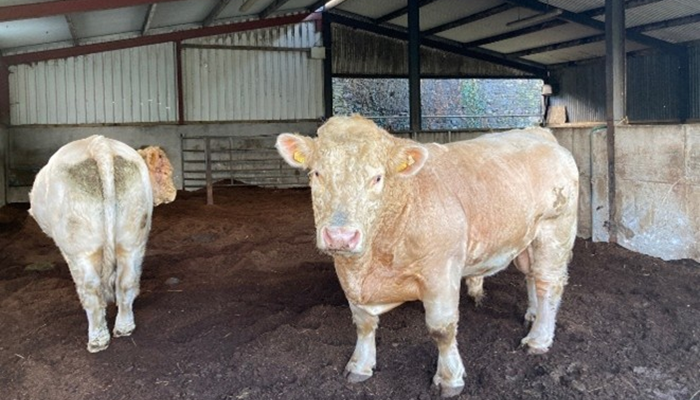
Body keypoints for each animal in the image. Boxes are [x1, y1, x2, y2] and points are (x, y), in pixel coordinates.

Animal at [29, 135, 176, 353]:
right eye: (166, 171)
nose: (173, 193)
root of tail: (99, 144)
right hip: (133, 236)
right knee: (127, 281)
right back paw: (124, 327)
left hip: (81, 248)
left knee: (91, 290)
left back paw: (97, 340)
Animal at [276, 115, 578, 397]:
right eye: (317, 173)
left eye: (377, 177)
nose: (340, 236)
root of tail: (538, 133)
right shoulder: (348, 274)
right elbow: (363, 323)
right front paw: (360, 365)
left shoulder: (441, 271)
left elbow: (441, 329)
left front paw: (449, 378)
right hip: (529, 238)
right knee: (531, 274)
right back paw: (533, 314)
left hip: (555, 228)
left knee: (548, 282)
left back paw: (538, 338)